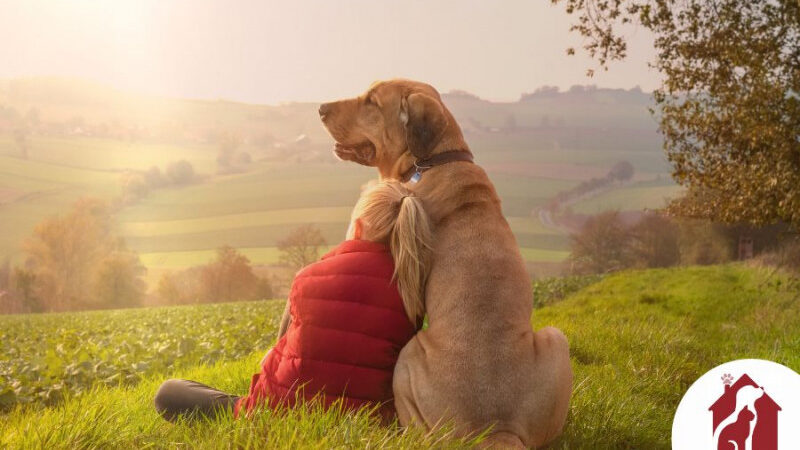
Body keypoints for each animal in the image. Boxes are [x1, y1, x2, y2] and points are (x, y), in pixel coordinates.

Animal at [316, 79, 572, 448]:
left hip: (408, 357)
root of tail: (496, 428)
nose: (321, 108)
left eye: (372, 102)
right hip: (556, 339)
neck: (433, 159)